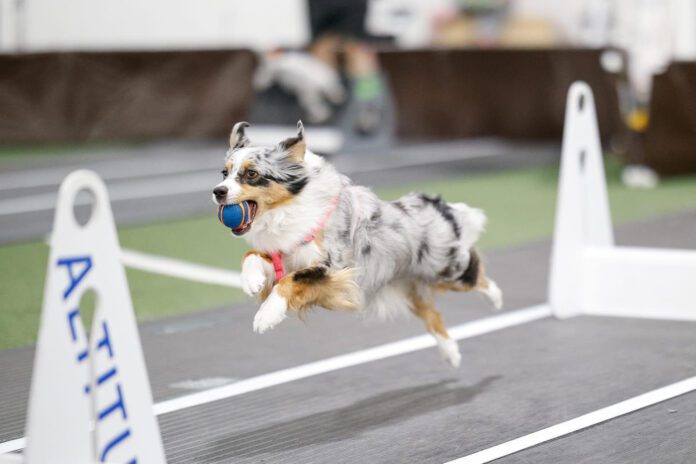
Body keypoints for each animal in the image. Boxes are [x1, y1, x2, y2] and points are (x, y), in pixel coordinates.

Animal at [211, 121, 500, 368]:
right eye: (224, 173)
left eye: (251, 174)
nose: (217, 191)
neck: (286, 209)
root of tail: (437, 204)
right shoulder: (286, 253)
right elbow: (252, 256)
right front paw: (252, 281)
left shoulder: (332, 268)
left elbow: (291, 281)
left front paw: (266, 316)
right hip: (409, 284)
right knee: (433, 315)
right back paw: (451, 354)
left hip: (446, 269)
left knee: (475, 271)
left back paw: (496, 299)